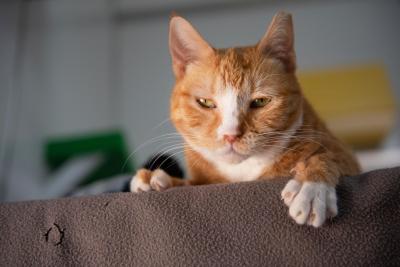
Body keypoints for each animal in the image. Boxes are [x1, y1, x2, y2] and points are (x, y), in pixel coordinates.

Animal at [130, 11, 360, 228]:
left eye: (260, 101)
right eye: (205, 102)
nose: (230, 135)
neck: (241, 174)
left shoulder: (345, 157)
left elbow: (327, 156)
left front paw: (311, 185)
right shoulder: (203, 181)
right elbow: (191, 183)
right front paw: (161, 180)